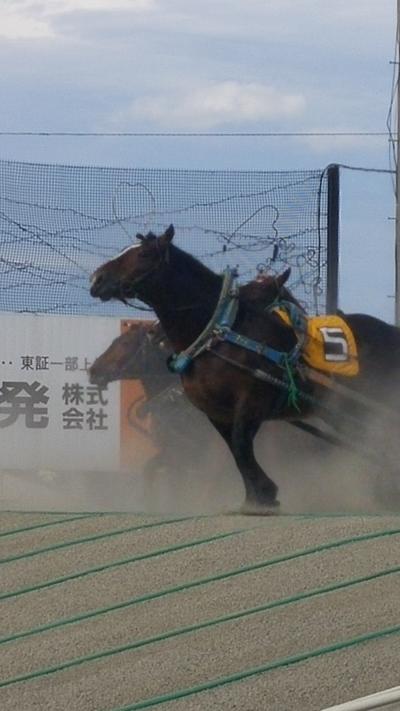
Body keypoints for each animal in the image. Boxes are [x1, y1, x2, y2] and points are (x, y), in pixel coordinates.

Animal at [90, 225, 400, 508]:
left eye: (142, 254)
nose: (97, 278)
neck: (220, 334)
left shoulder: (251, 402)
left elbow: (239, 445)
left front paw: (264, 494)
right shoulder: (215, 413)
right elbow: (235, 451)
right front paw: (256, 494)